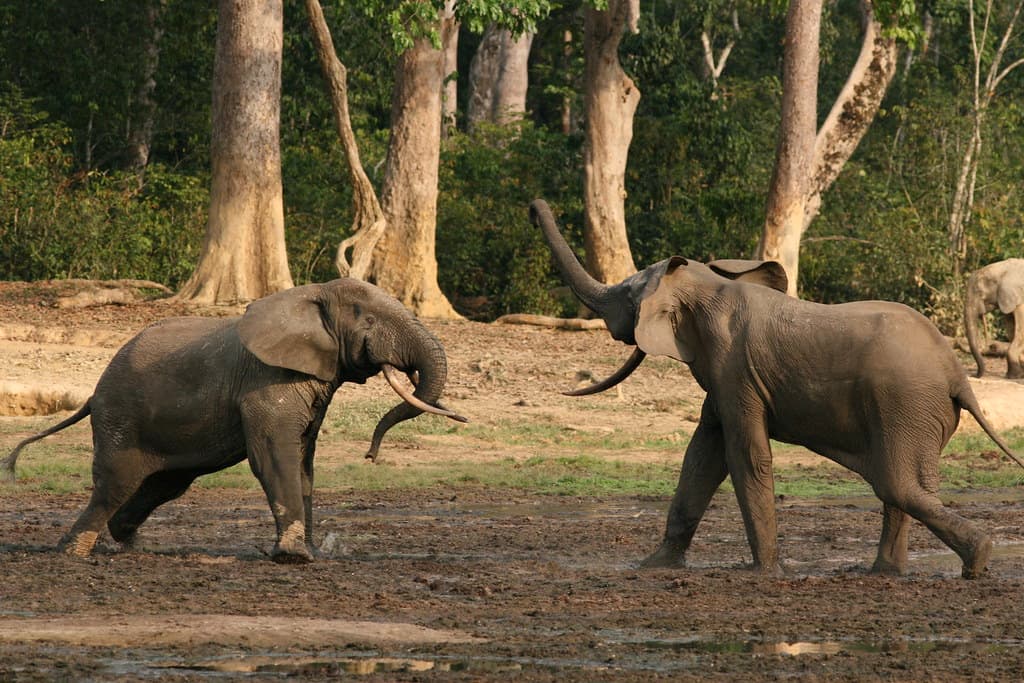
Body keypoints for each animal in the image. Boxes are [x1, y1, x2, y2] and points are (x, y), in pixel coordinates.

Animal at [1, 278, 466, 563]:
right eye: (367, 319)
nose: (371, 455)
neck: (311, 293)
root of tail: (92, 395)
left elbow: (303, 463)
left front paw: (311, 553)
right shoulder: (267, 381)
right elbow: (275, 458)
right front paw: (294, 557)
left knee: (164, 484)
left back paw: (134, 546)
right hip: (120, 416)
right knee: (115, 483)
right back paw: (72, 553)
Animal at [530, 198, 1024, 579]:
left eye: (626, 296)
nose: (534, 210)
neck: (711, 285)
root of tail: (957, 374)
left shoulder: (734, 368)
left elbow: (744, 455)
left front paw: (766, 572)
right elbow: (702, 456)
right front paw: (654, 567)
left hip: (904, 403)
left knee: (895, 485)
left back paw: (976, 561)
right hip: (915, 411)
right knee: (902, 487)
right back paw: (886, 573)